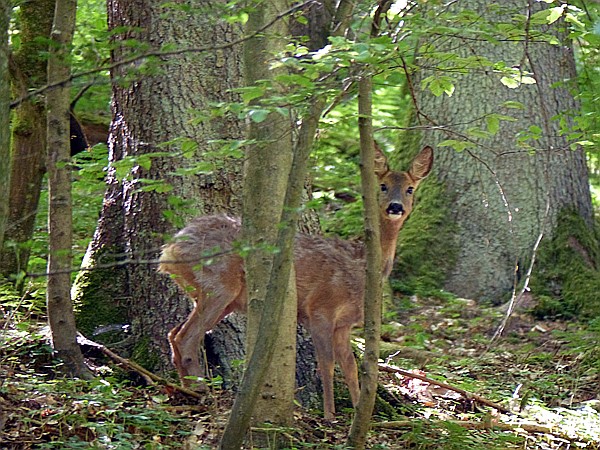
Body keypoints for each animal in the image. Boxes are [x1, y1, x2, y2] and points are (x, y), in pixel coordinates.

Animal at [159, 146, 432, 420]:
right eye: (383, 186)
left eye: (410, 188)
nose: (395, 207)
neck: (361, 267)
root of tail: (169, 250)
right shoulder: (320, 309)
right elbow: (327, 364)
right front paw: (330, 416)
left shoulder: (343, 324)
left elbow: (350, 366)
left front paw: (360, 413)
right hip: (218, 285)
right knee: (186, 336)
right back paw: (200, 390)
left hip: (219, 297)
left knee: (174, 334)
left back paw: (186, 389)